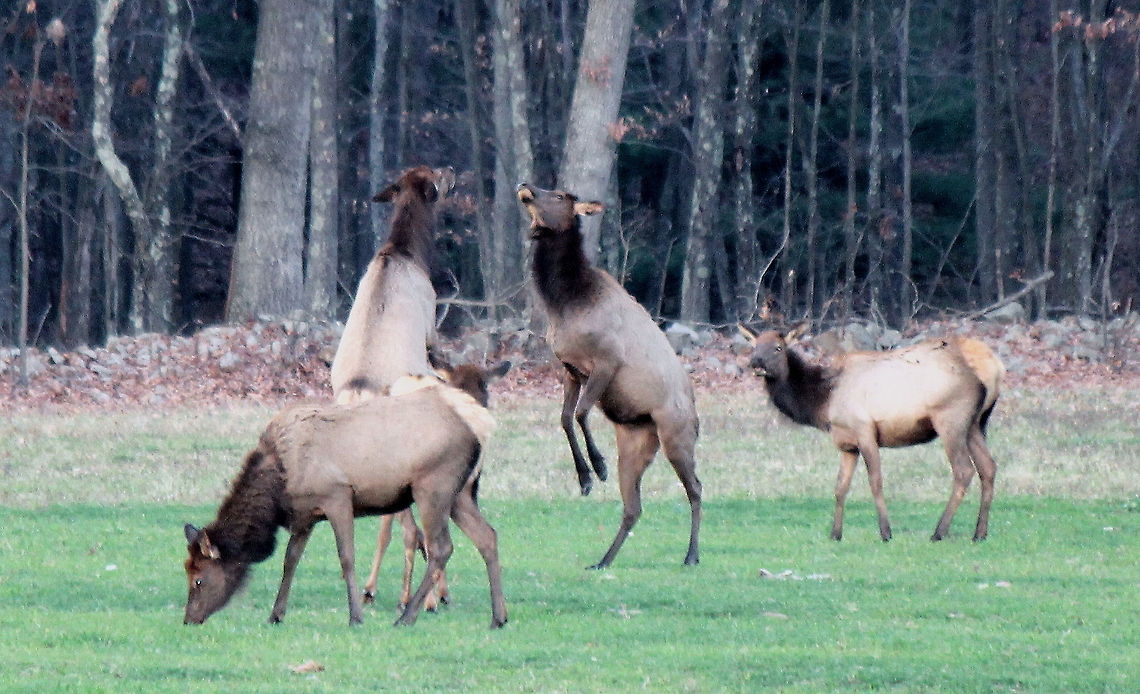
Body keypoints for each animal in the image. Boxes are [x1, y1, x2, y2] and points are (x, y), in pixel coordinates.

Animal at [182, 367, 508, 629]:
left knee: (440, 547)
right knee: (487, 536)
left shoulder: (337, 496)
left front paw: (356, 616)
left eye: (198, 579)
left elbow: (347, 558)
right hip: (460, 493)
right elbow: (290, 560)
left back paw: (407, 616)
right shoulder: (305, 513)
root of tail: (479, 424)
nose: (188, 619)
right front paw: (276, 614)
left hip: (432, 485)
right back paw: (498, 617)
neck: (279, 483)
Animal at [329, 165, 455, 612]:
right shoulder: (432, 326)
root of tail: (359, 390)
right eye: (437, 175)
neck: (405, 251)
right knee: (410, 524)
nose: (452, 170)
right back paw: (430, 594)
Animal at [516, 182, 702, 569]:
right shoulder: (570, 369)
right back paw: (602, 561)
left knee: (695, 487)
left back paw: (691, 555)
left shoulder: (607, 360)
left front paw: (596, 467)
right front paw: (584, 479)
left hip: (676, 434)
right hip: (634, 445)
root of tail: (697, 419)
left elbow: (581, 413)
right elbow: (564, 418)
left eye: (559, 196)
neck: (563, 303)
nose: (525, 186)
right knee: (634, 506)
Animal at [741, 326, 1003, 542]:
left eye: (778, 348)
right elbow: (840, 487)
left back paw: (939, 532)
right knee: (988, 468)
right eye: (754, 346)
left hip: (950, 418)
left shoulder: (865, 430)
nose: (756, 363)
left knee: (964, 470)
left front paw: (886, 532)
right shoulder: (847, 444)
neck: (823, 401)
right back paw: (980, 533)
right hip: (976, 424)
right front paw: (835, 534)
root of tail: (993, 367)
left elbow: (875, 481)